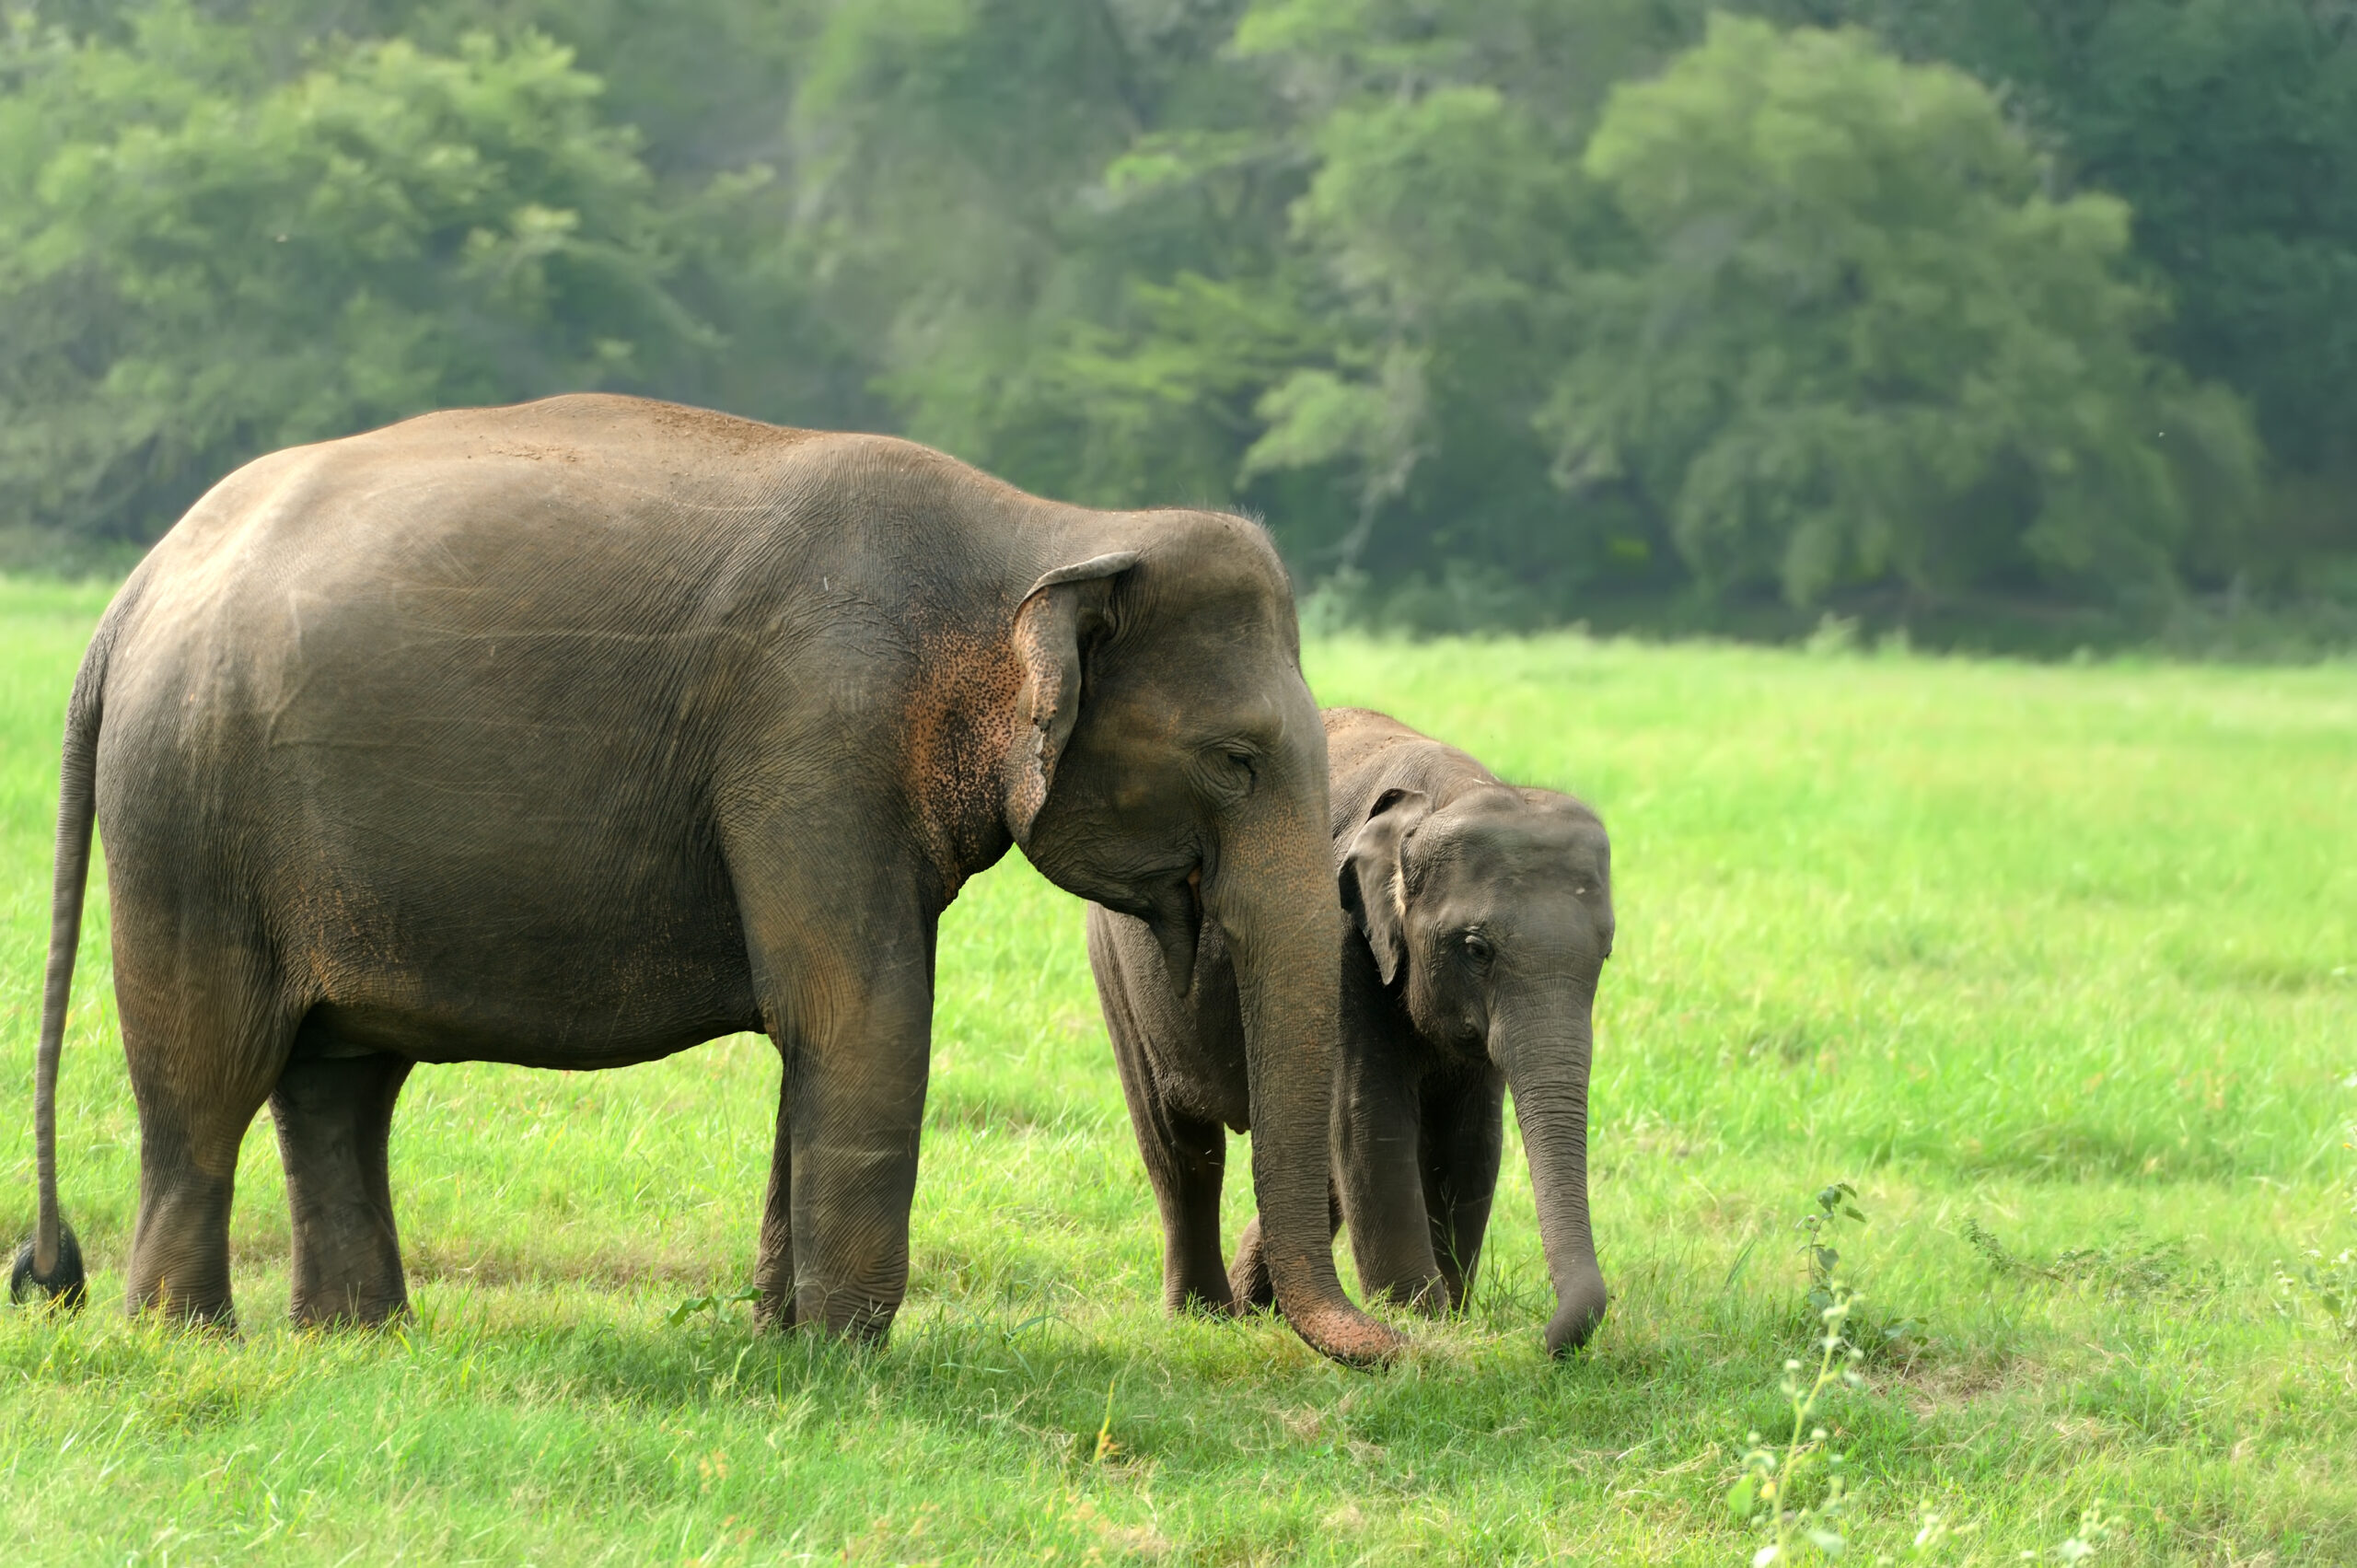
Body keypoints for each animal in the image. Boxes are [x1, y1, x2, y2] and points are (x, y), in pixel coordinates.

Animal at [10, 393, 1403, 1366]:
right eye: (1235, 760)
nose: (1401, 1345)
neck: (1051, 527)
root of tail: (128, 597)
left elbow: (822, 1025)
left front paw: (782, 1341)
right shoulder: (815, 733)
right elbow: (859, 1012)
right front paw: (854, 1361)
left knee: (340, 1077)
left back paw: (363, 1340)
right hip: (189, 813)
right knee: (208, 1067)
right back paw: (188, 1338)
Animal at [1087, 706, 1612, 1356]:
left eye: (1606, 951)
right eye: (1476, 948)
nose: (1540, 1341)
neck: (1445, 796)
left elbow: (1469, 1140)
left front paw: (1453, 1321)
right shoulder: (1340, 943)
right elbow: (1370, 1120)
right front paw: (1421, 1320)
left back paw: (1255, 1307)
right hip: (1116, 962)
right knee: (1180, 1149)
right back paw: (1203, 1319)